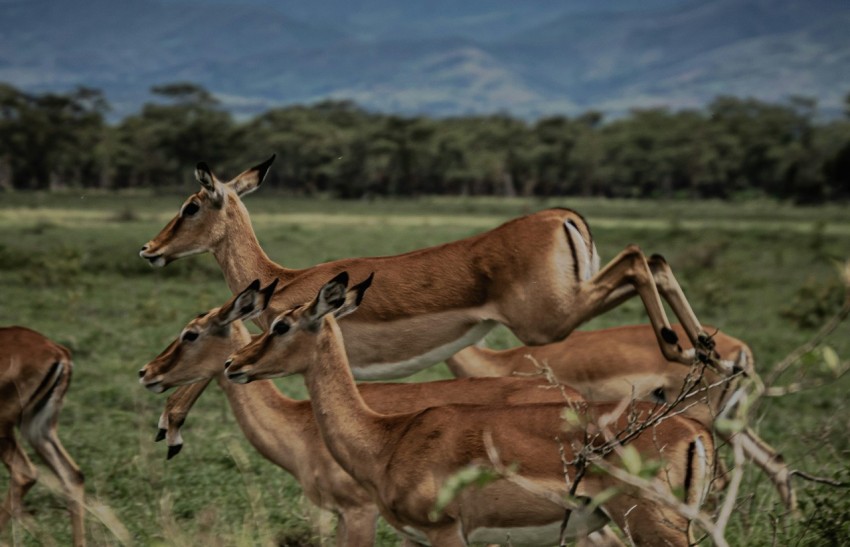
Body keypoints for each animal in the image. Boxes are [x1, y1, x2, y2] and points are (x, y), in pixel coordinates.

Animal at [223, 273, 716, 547]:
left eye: (281, 324)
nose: (234, 364)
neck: (387, 438)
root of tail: (695, 434)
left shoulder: (445, 532)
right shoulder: (415, 539)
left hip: (654, 529)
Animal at [445, 325, 798, 511]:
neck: (502, 363)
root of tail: (741, 351)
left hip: (703, 420)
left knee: (719, 480)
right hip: (729, 423)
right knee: (775, 461)